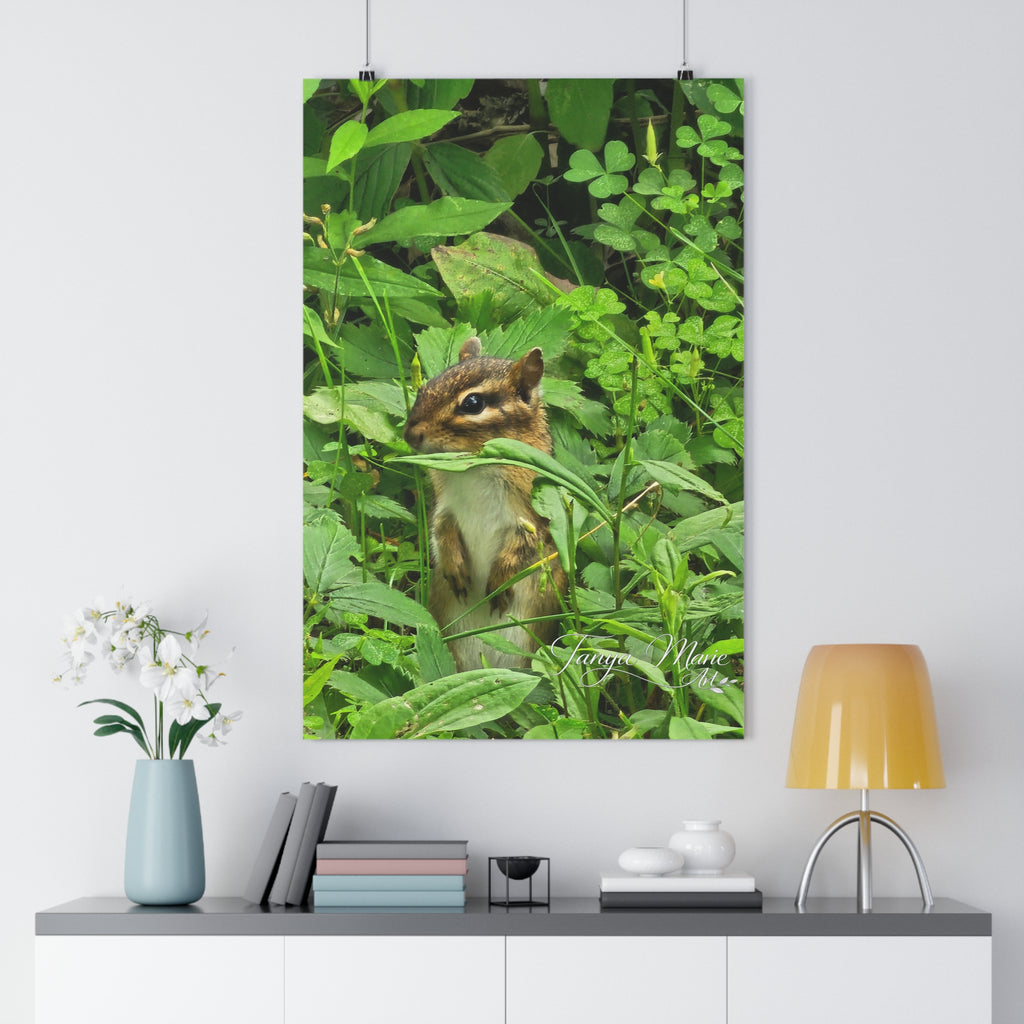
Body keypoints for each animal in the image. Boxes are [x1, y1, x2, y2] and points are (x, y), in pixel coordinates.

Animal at [404, 337, 567, 672]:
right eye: (425, 387)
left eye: (472, 404)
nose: (409, 434)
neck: (474, 469)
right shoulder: (444, 506)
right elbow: (440, 531)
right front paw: (454, 567)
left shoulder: (531, 517)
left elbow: (522, 548)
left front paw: (499, 583)